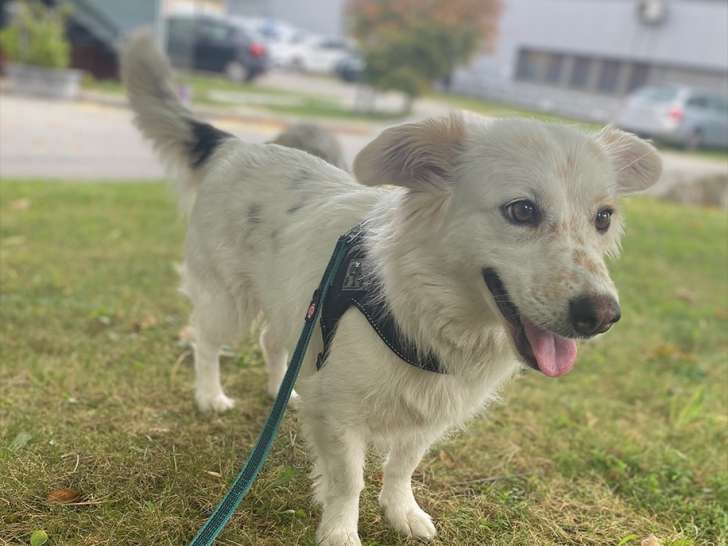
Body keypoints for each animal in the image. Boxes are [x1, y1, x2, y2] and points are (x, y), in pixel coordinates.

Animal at [123, 34, 660, 544]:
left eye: (603, 218)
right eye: (522, 210)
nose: (602, 315)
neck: (430, 310)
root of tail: (234, 145)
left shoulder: (428, 414)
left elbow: (403, 465)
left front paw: (401, 511)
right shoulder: (340, 416)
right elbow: (348, 480)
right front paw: (341, 531)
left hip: (293, 307)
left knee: (272, 342)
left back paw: (283, 391)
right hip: (226, 299)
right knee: (206, 343)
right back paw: (210, 395)